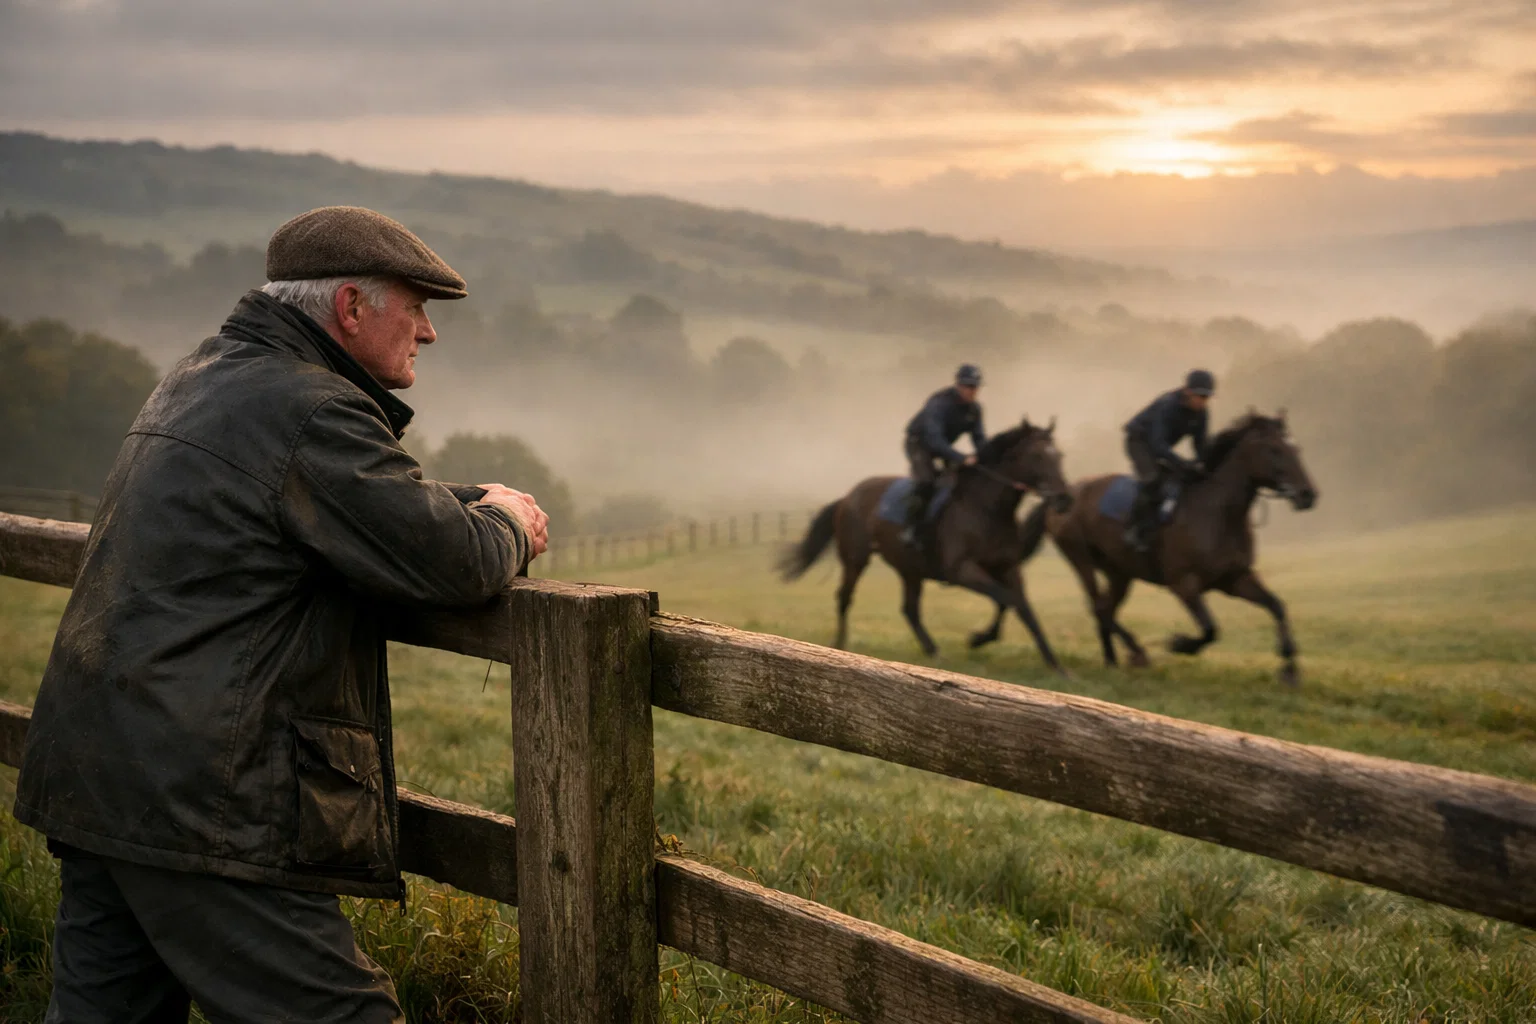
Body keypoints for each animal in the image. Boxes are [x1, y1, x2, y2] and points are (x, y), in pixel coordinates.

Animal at [778, 418, 1074, 670]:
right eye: (1037, 456)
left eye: (1059, 456)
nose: (1064, 499)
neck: (987, 509)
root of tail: (847, 497)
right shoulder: (960, 571)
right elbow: (1006, 599)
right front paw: (979, 638)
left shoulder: (1008, 567)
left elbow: (1022, 608)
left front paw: (1056, 665)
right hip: (856, 558)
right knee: (844, 597)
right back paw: (839, 645)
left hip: (909, 569)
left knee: (909, 609)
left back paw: (934, 651)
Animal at [1013, 412, 1318, 685]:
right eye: (1274, 450)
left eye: (1295, 448)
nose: (1308, 495)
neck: (1218, 513)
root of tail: (1062, 496)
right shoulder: (1183, 583)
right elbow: (1210, 629)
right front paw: (1180, 643)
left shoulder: (1235, 579)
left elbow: (1276, 606)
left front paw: (1290, 669)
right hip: (1080, 558)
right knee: (1098, 606)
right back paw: (1134, 653)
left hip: (1119, 572)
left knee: (1106, 608)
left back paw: (1114, 659)